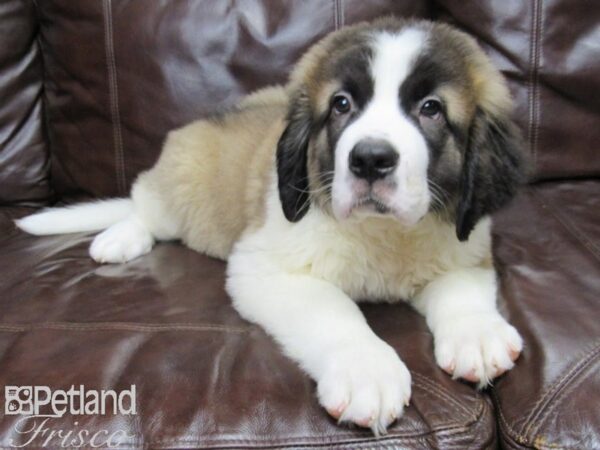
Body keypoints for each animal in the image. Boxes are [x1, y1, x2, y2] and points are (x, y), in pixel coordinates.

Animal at [17, 18, 524, 436]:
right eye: (341, 105)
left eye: (431, 108)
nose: (369, 160)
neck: (381, 234)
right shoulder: (267, 267)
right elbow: (334, 311)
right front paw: (366, 371)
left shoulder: (465, 246)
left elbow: (461, 289)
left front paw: (477, 334)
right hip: (182, 180)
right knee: (144, 203)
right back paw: (121, 236)